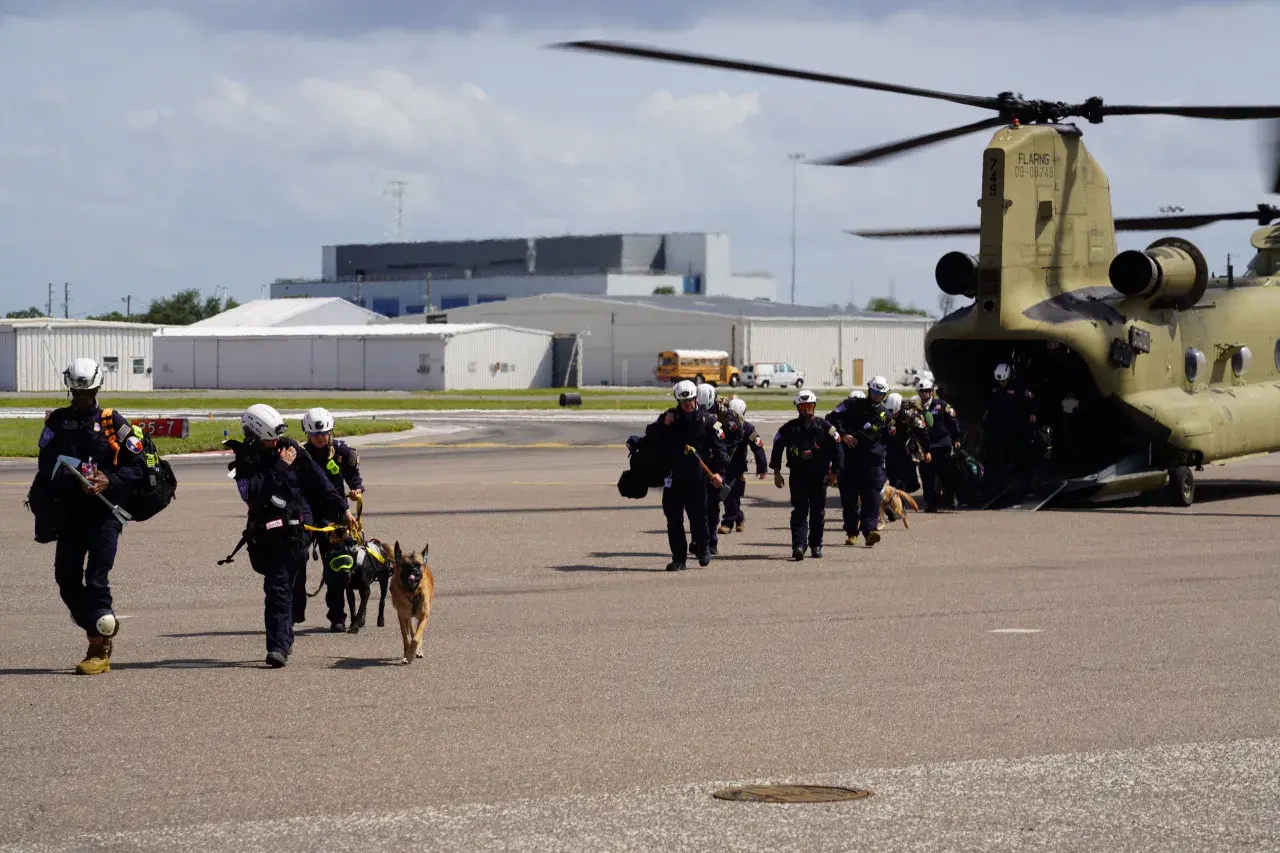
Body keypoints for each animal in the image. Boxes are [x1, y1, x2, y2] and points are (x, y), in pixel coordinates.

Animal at [389, 537, 435, 666]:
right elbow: (406, 637)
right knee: (410, 629)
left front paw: (411, 653)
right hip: (407, 617)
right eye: (405, 565)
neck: (412, 593)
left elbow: (416, 637)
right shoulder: (402, 615)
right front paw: (407, 654)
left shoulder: (424, 616)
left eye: (418, 565)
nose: (413, 571)